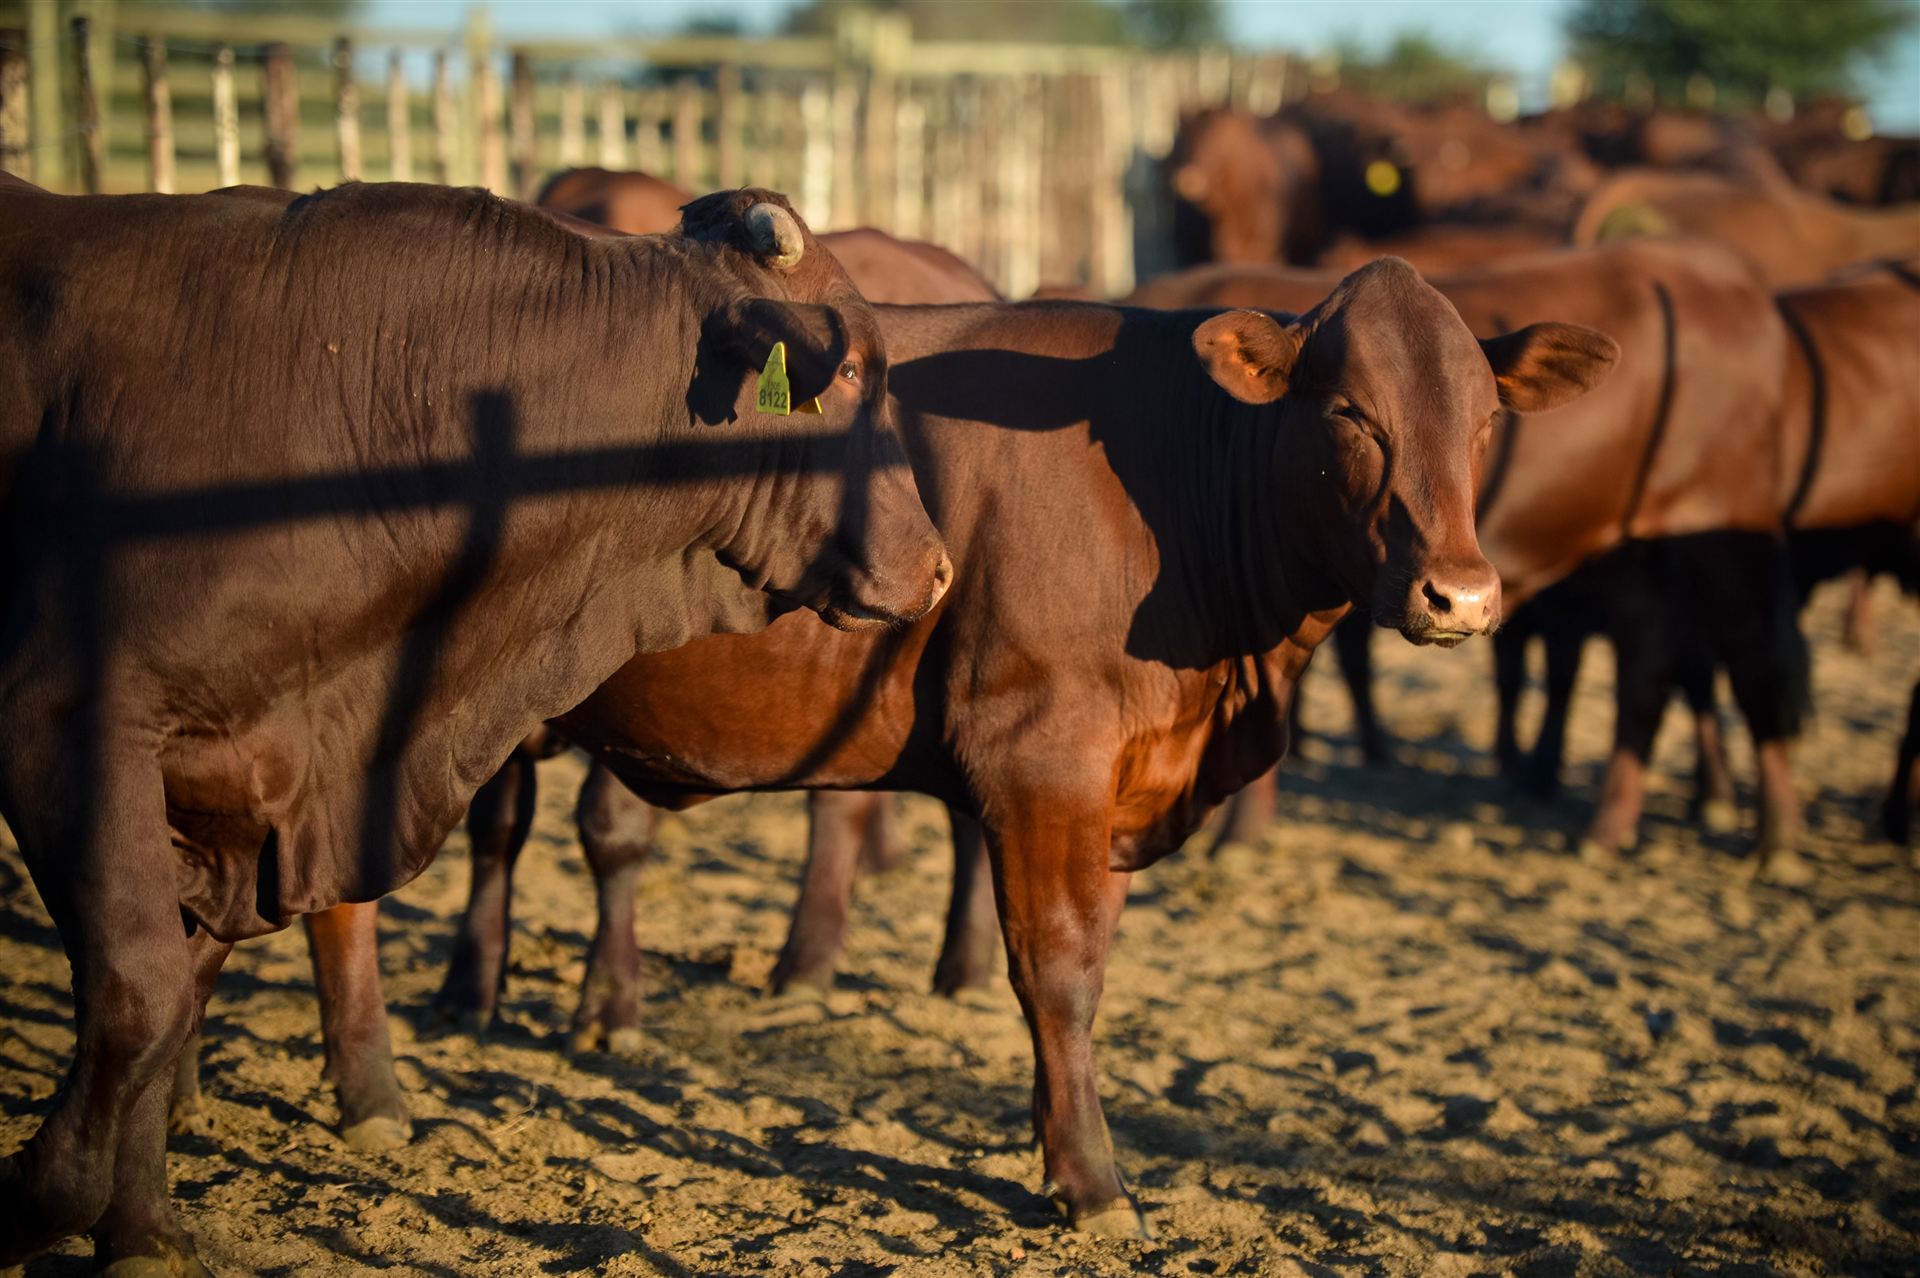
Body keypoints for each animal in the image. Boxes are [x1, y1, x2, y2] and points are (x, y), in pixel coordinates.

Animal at [0, 179, 951, 1275]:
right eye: (850, 370)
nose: (938, 569)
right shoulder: (70, 725)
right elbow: (142, 990)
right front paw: (49, 1199)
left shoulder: (243, 788)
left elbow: (174, 996)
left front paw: (142, 1228)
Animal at [172, 261, 1620, 1239]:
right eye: (1354, 417)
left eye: (1483, 421)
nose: (1461, 595)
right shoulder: (1043, 758)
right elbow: (1061, 975)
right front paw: (1091, 1179)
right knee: (327, 902)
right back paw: (362, 1089)